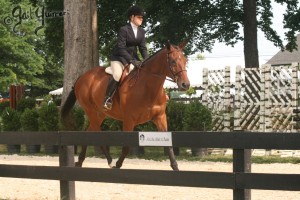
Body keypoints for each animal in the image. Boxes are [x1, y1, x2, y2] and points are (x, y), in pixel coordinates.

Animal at [61, 40, 190, 170]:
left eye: (185, 61)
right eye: (173, 61)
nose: (185, 85)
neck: (148, 88)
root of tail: (81, 77)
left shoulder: (160, 117)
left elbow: (168, 144)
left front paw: (176, 167)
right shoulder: (129, 120)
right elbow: (126, 147)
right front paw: (118, 165)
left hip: (100, 113)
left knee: (89, 131)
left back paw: (80, 161)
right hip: (90, 110)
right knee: (96, 133)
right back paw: (110, 161)